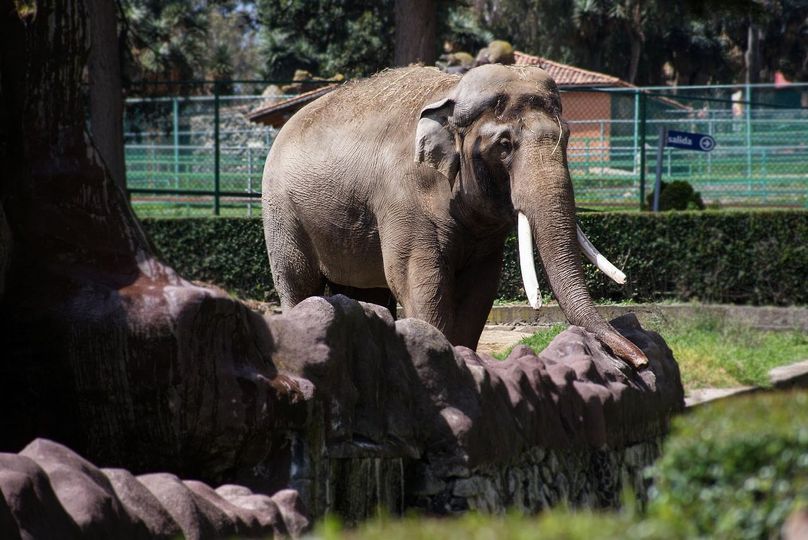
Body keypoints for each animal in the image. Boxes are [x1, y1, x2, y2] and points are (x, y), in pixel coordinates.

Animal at [262, 62, 648, 368]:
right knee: (299, 284)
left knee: (366, 295)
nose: (641, 361)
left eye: (566, 138)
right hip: (281, 211)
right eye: (504, 146)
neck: (452, 92)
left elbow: (480, 288)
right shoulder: (404, 198)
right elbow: (419, 282)